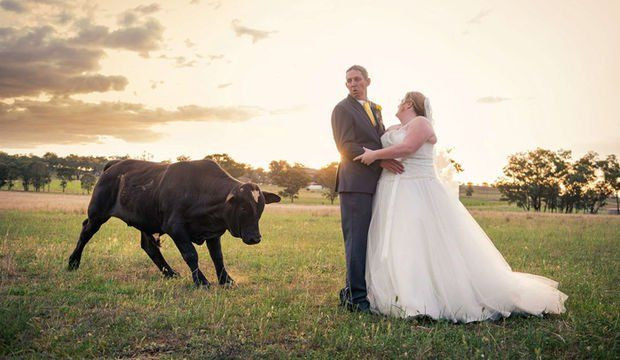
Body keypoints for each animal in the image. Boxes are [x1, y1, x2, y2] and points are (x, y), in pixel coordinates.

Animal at [68, 160, 280, 286]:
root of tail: (114, 165)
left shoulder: (213, 233)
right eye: (243, 208)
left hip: (145, 220)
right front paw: (201, 281)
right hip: (97, 214)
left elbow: (218, 257)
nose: (255, 238)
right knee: (85, 233)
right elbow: (191, 255)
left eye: (260, 208)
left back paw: (169, 273)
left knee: (149, 247)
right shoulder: (176, 228)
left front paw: (226, 280)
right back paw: (73, 263)